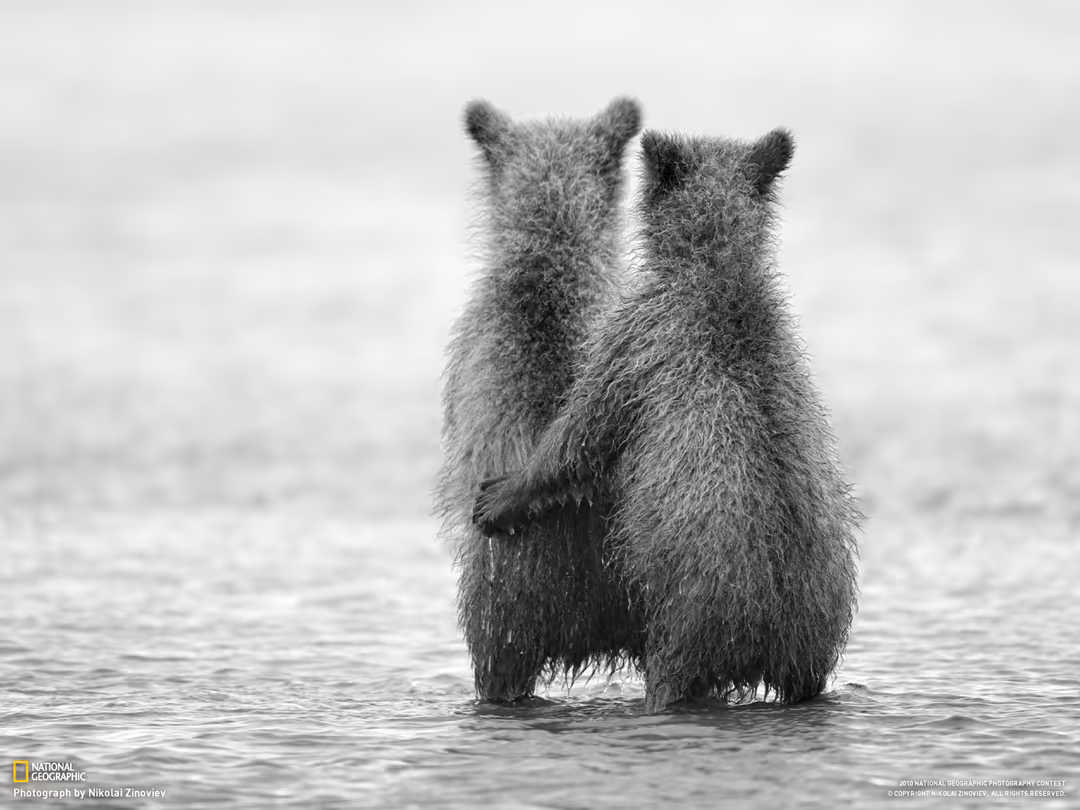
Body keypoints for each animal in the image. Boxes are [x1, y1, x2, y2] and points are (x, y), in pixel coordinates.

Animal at [474, 128, 860, 713]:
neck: (715, 266)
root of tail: (777, 625)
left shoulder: (637, 339)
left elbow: (581, 436)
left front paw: (500, 495)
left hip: (691, 611)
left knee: (670, 674)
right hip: (815, 626)